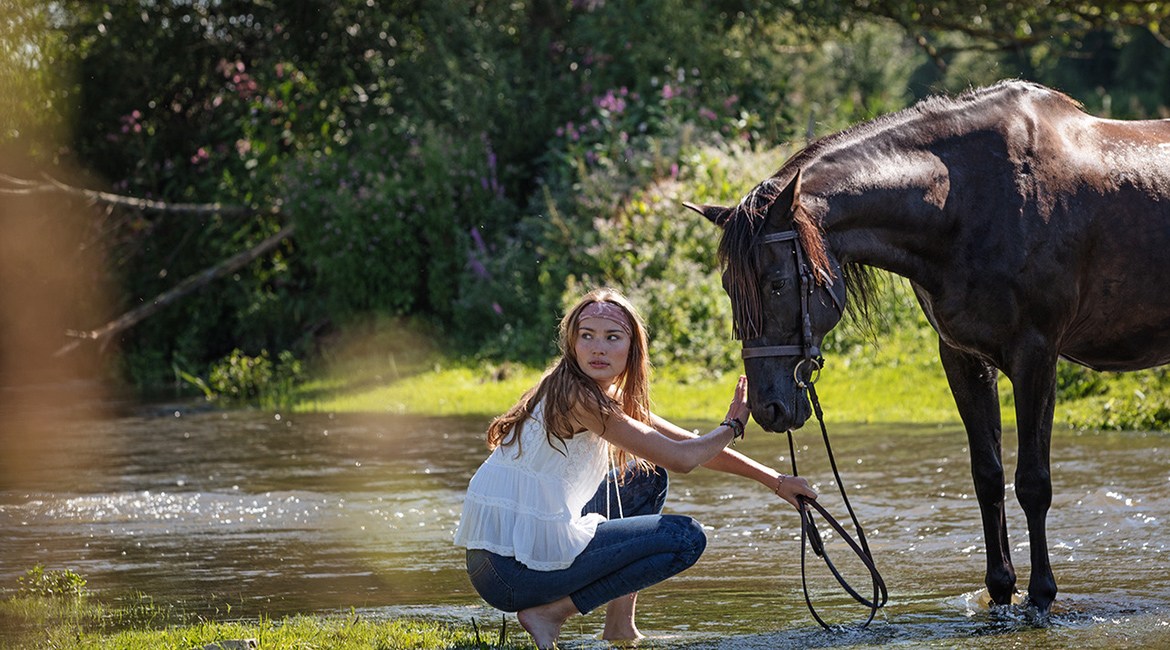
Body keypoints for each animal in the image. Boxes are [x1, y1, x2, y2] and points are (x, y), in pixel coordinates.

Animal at [683, 80, 1170, 612]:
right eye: (729, 288)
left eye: (774, 284)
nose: (767, 409)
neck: (970, 202)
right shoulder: (962, 358)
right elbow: (987, 477)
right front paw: (1001, 589)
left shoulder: (1036, 356)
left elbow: (1032, 483)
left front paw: (1041, 596)